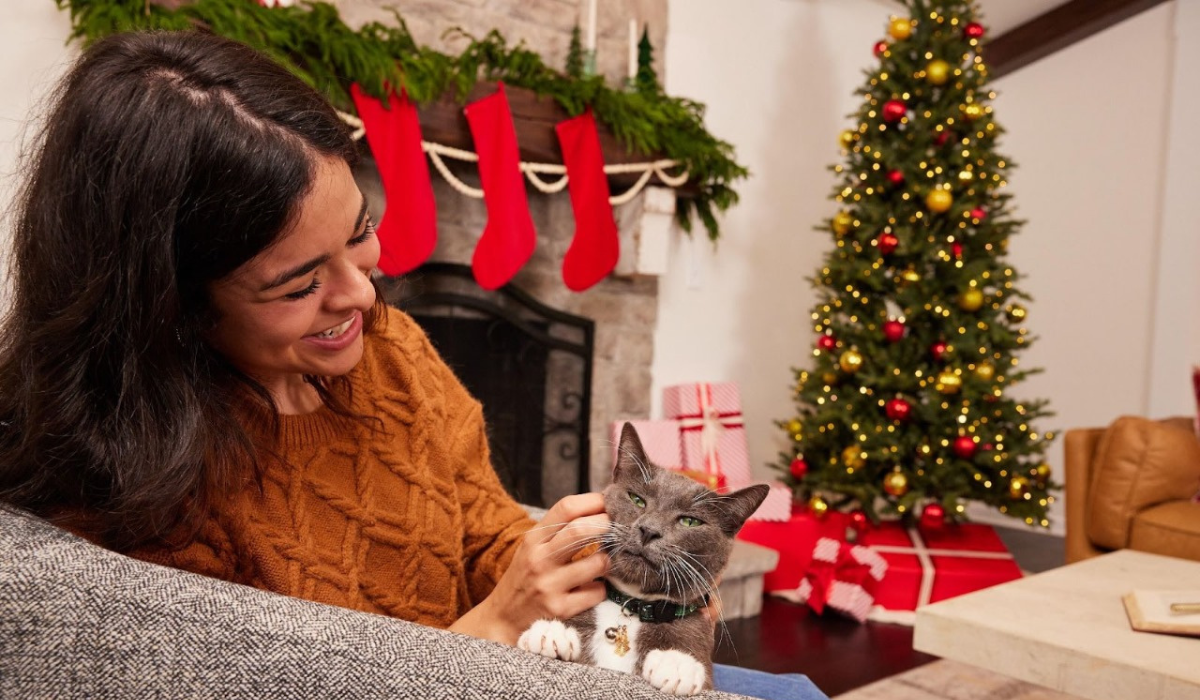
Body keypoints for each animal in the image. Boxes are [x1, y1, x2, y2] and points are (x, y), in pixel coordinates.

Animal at [518, 422, 768, 696]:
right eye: (637, 499)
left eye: (690, 521)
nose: (648, 530)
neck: (634, 607)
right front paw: (551, 635)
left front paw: (676, 664)